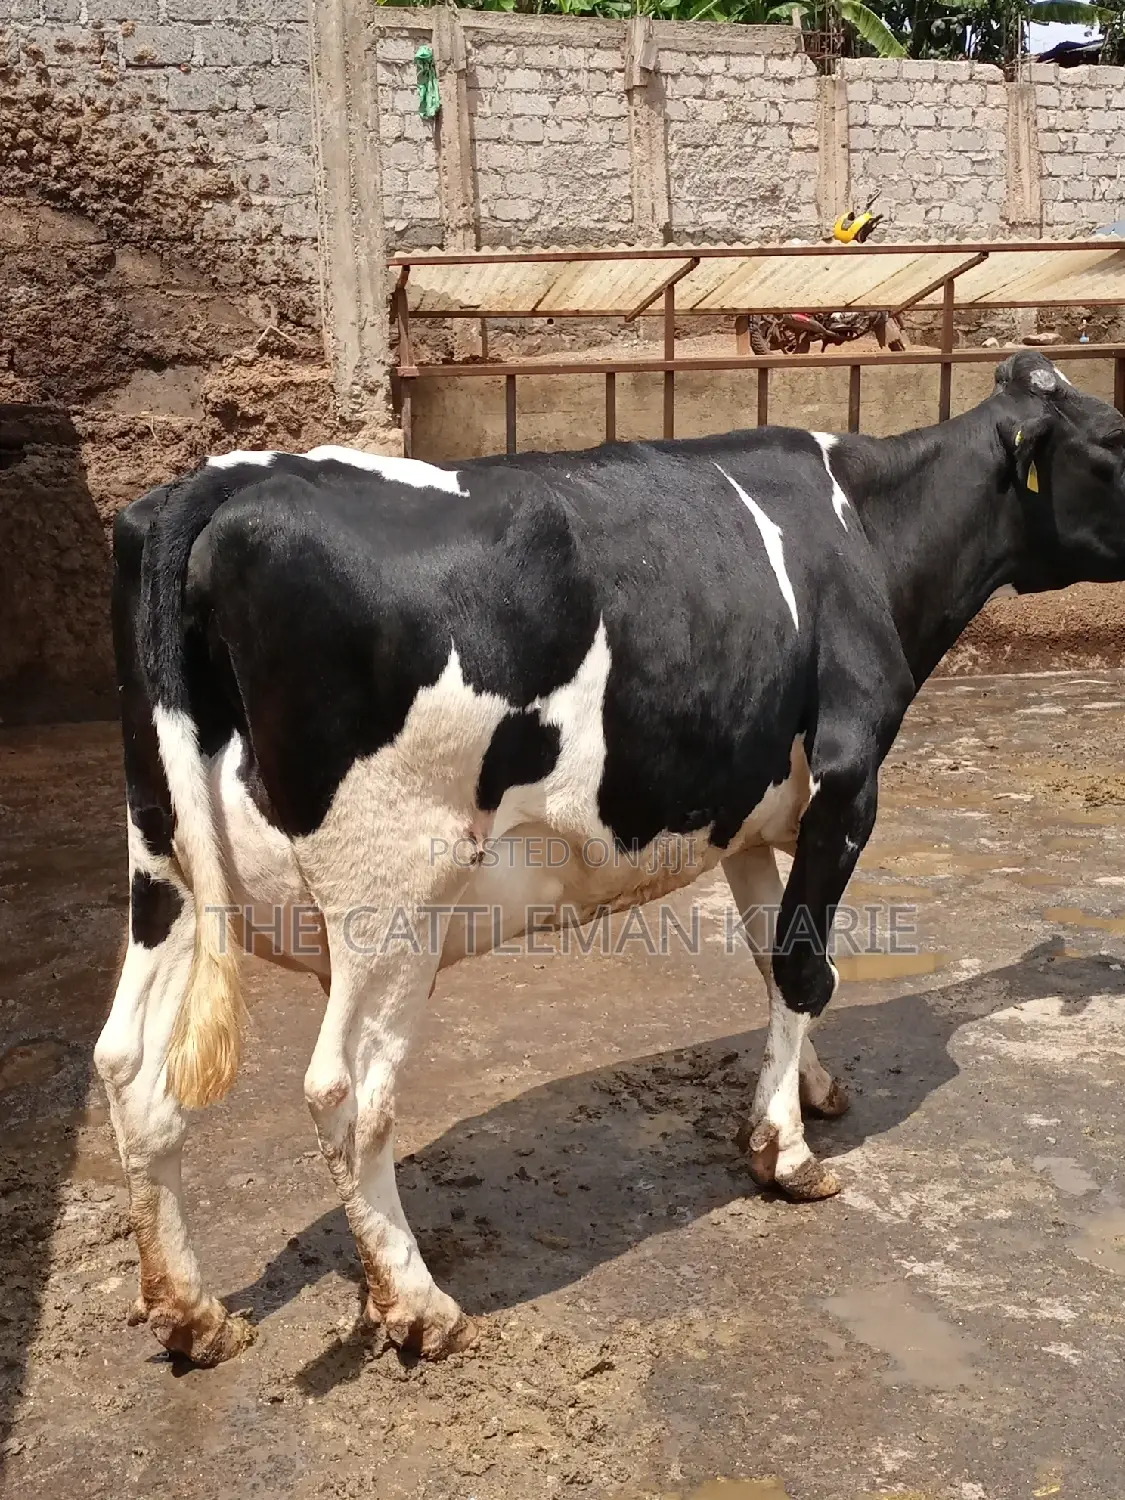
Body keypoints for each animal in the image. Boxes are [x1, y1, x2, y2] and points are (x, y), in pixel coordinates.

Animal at [95, 352, 1125, 1367]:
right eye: (1114, 440)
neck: (867, 529)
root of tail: (220, 482)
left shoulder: (743, 807)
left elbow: (771, 954)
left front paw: (808, 1089)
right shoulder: (848, 781)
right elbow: (803, 967)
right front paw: (786, 1154)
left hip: (166, 862)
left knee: (130, 1064)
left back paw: (190, 1311)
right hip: (388, 895)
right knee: (345, 1089)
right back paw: (419, 1305)